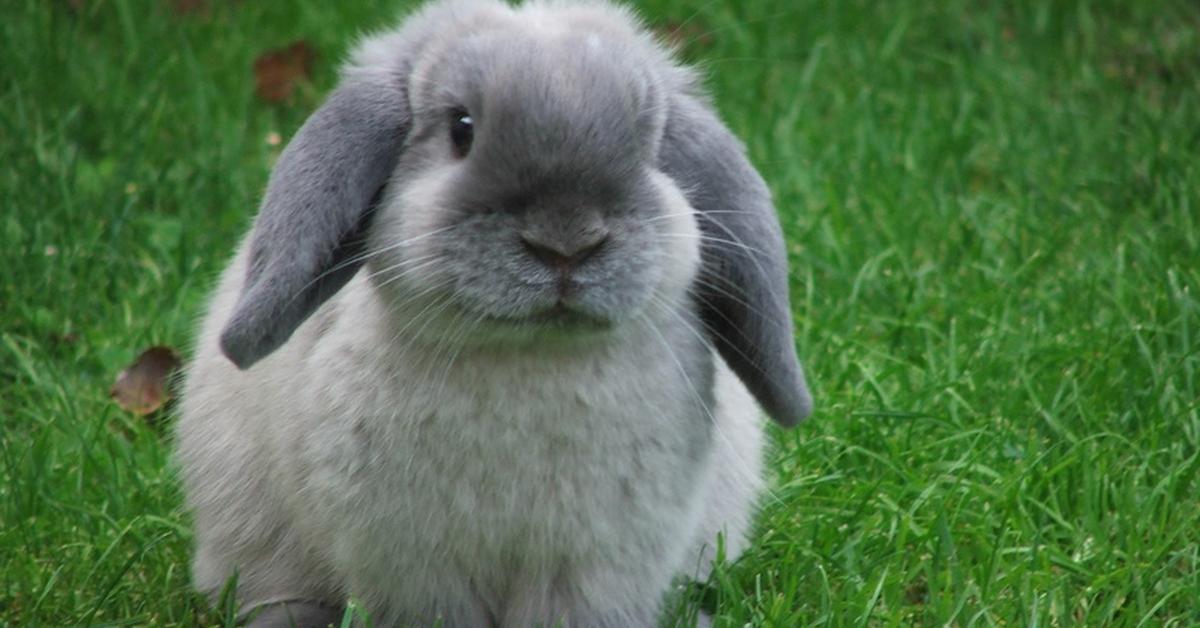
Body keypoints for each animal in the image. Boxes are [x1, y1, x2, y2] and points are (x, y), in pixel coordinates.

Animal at [175, 0, 816, 624]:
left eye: (645, 139)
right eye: (461, 129)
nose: (566, 242)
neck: (530, 356)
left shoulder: (591, 565)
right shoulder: (418, 568)